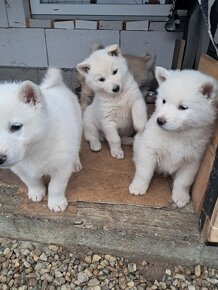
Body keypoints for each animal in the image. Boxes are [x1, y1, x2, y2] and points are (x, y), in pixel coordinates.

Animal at [0, 69, 82, 212]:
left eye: (16, 127)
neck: (33, 150)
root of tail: (58, 85)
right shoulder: (20, 168)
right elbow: (31, 181)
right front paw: (36, 192)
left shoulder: (62, 167)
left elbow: (56, 186)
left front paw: (56, 202)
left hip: (79, 126)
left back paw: (76, 163)